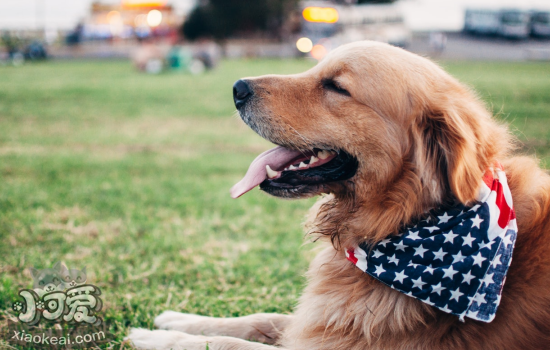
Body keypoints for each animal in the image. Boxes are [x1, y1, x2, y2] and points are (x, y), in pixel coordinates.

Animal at [129, 40, 550, 348]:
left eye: (336, 87)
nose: (237, 88)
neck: (402, 219)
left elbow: (228, 344)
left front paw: (153, 337)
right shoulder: (321, 321)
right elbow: (258, 319)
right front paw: (177, 318)